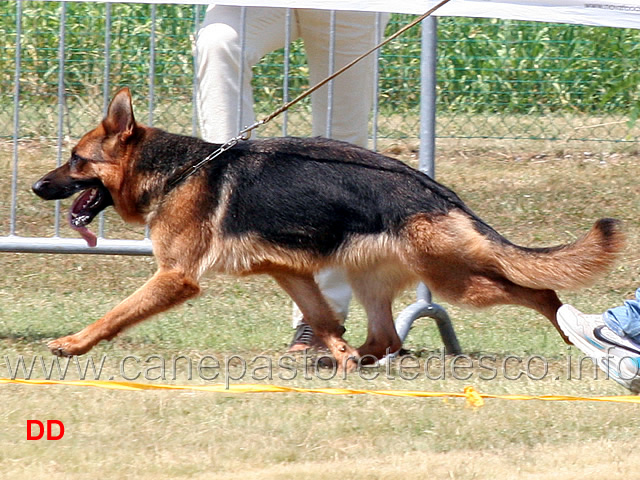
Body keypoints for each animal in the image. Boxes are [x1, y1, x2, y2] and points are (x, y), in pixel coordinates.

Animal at [32, 88, 624, 370]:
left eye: (76, 160)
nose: (37, 187)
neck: (180, 170)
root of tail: (440, 194)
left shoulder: (175, 277)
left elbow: (115, 313)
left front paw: (72, 344)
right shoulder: (286, 270)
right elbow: (320, 317)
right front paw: (337, 352)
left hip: (457, 281)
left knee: (541, 291)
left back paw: (576, 334)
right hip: (371, 278)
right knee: (385, 337)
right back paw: (348, 359)